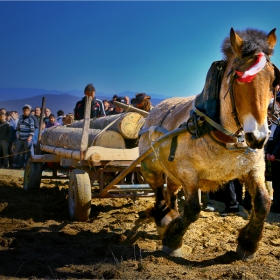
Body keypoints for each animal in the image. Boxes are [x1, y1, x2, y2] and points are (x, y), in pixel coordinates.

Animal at [138, 28, 280, 260]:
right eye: (239, 78)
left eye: (272, 81)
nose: (259, 137)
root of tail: (153, 111)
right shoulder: (188, 173)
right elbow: (192, 209)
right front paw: (172, 241)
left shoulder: (254, 168)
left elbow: (263, 202)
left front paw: (247, 244)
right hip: (151, 165)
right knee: (159, 189)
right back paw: (164, 220)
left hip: (173, 171)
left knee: (171, 191)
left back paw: (170, 214)